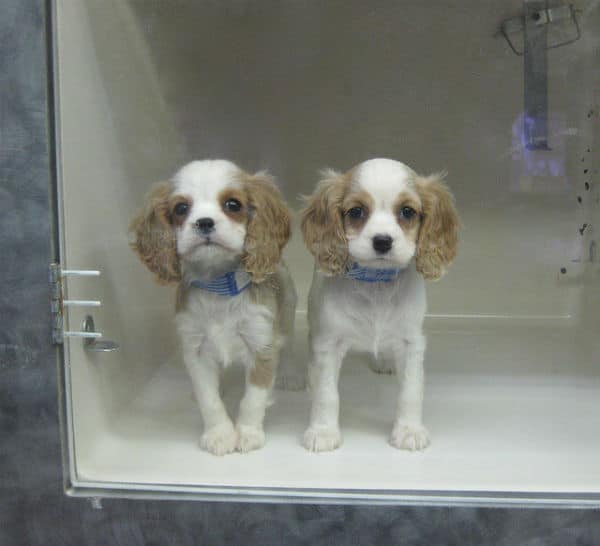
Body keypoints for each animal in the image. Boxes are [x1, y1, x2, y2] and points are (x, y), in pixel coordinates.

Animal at [134, 159, 298, 452]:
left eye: (233, 205)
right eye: (181, 208)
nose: (204, 222)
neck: (219, 284)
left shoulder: (261, 344)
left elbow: (252, 398)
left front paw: (248, 433)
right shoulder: (195, 350)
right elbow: (208, 400)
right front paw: (219, 434)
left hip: (288, 308)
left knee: (286, 344)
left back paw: (289, 376)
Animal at [300, 156, 460, 450]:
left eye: (407, 211)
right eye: (356, 212)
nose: (383, 241)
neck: (375, 282)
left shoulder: (411, 342)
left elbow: (410, 391)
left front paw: (408, 430)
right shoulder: (329, 342)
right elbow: (327, 393)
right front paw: (323, 431)